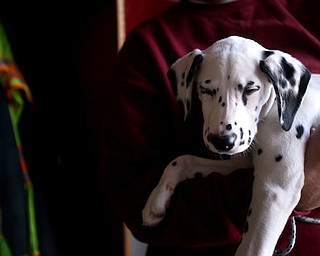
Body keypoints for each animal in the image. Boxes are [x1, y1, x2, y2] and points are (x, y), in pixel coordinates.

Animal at [142, 36, 320, 256]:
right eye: (206, 90)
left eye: (250, 90)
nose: (222, 141)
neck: (273, 108)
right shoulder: (241, 163)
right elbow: (184, 160)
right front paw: (157, 199)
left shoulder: (275, 189)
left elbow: (251, 249)